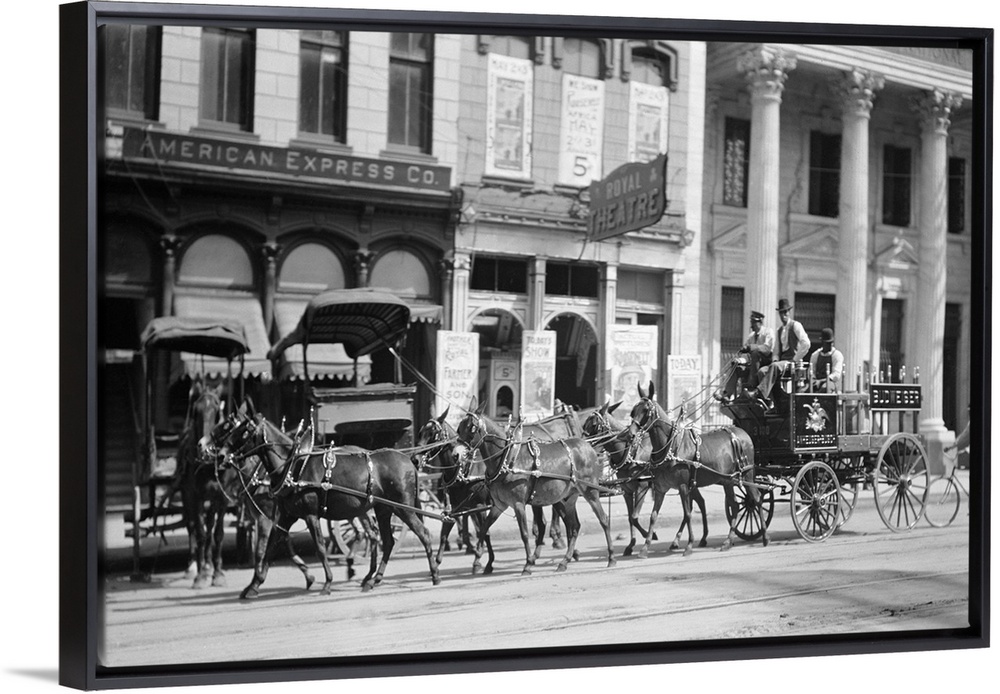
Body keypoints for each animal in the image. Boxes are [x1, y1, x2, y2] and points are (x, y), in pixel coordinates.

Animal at [216, 413, 440, 598]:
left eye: (243, 431)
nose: (220, 455)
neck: (295, 466)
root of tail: (409, 461)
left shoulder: (309, 515)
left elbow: (320, 548)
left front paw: (327, 583)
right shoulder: (286, 516)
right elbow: (270, 549)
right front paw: (254, 585)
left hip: (403, 508)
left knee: (423, 534)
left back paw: (434, 574)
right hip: (384, 509)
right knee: (386, 541)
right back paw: (373, 579)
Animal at [413, 408, 495, 574]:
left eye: (433, 433)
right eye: (420, 432)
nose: (415, 459)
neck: (463, 469)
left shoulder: (480, 506)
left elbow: (484, 532)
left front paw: (481, 561)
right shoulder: (455, 508)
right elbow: (444, 534)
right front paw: (436, 565)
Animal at [454, 399, 616, 575]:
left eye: (472, 428)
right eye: (459, 428)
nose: (456, 454)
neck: (507, 459)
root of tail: (587, 445)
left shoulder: (518, 504)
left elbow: (524, 534)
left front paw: (528, 563)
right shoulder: (499, 505)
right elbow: (484, 529)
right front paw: (481, 559)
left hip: (590, 491)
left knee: (604, 519)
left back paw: (611, 557)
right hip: (569, 497)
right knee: (574, 527)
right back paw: (564, 561)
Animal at [583, 402, 710, 555]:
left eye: (594, 424)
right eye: (584, 424)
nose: (583, 442)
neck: (629, 451)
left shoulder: (642, 487)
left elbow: (634, 517)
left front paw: (650, 535)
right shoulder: (627, 489)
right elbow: (631, 518)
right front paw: (631, 545)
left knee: (694, 507)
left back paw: (696, 538)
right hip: (690, 483)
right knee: (698, 503)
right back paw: (682, 540)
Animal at [626, 383, 769, 557]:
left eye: (646, 410)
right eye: (633, 411)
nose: (631, 435)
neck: (670, 446)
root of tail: (742, 433)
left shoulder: (683, 486)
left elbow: (687, 514)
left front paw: (689, 545)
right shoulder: (660, 488)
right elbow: (653, 516)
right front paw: (645, 547)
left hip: (747, 475)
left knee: (756, 499)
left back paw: (764, 537)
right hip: (728, 480)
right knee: (735, 506)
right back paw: (728, 541)